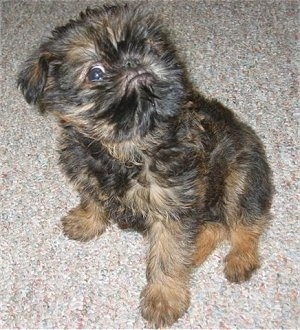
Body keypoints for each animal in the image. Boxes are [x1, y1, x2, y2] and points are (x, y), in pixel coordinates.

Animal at [17, 3, 274, 328]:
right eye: (96, 73)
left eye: (148, 46)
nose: (133, 59)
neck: (127, 147)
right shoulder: (85, 170)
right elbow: (92, 196)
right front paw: (87, 220)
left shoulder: (173, 208)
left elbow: (167, 255)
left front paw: (164, 298)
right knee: (216, 227)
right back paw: (195, 253)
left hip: (240, 175)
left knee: (243, 225)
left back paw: (240, 258)